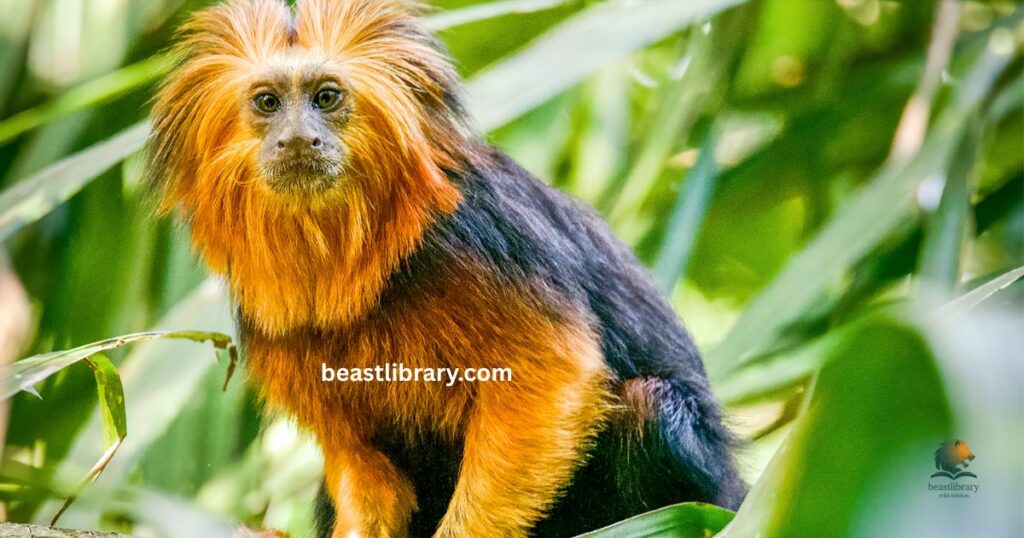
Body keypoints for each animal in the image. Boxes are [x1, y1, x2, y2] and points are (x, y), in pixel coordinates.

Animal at [146, 0, 746, 536]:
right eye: (268, 102)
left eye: (326, 97)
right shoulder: (274, 324)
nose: (297, 139)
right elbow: (357, 457)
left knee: (654, 408)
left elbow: (553, 377)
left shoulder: (480, 240)